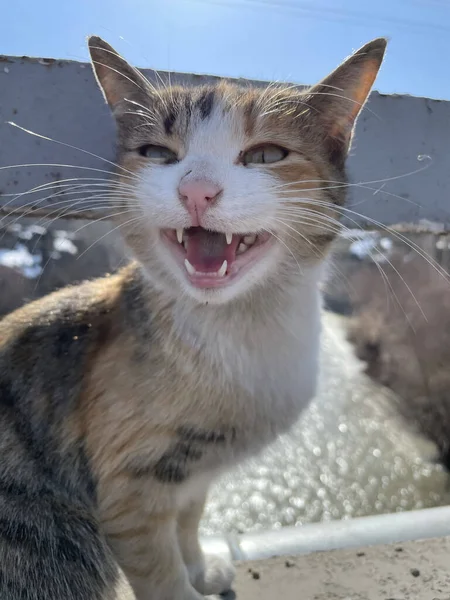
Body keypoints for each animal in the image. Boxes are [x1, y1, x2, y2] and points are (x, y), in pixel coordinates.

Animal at [0, 35, 386, 596]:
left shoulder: (192, 475)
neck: (240, 332)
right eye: (158, 153)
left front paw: (201, 569)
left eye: (266, 154)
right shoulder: (129, 492)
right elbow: (162, 574)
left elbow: (189, 519)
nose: (197, 190)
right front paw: (186, 582)